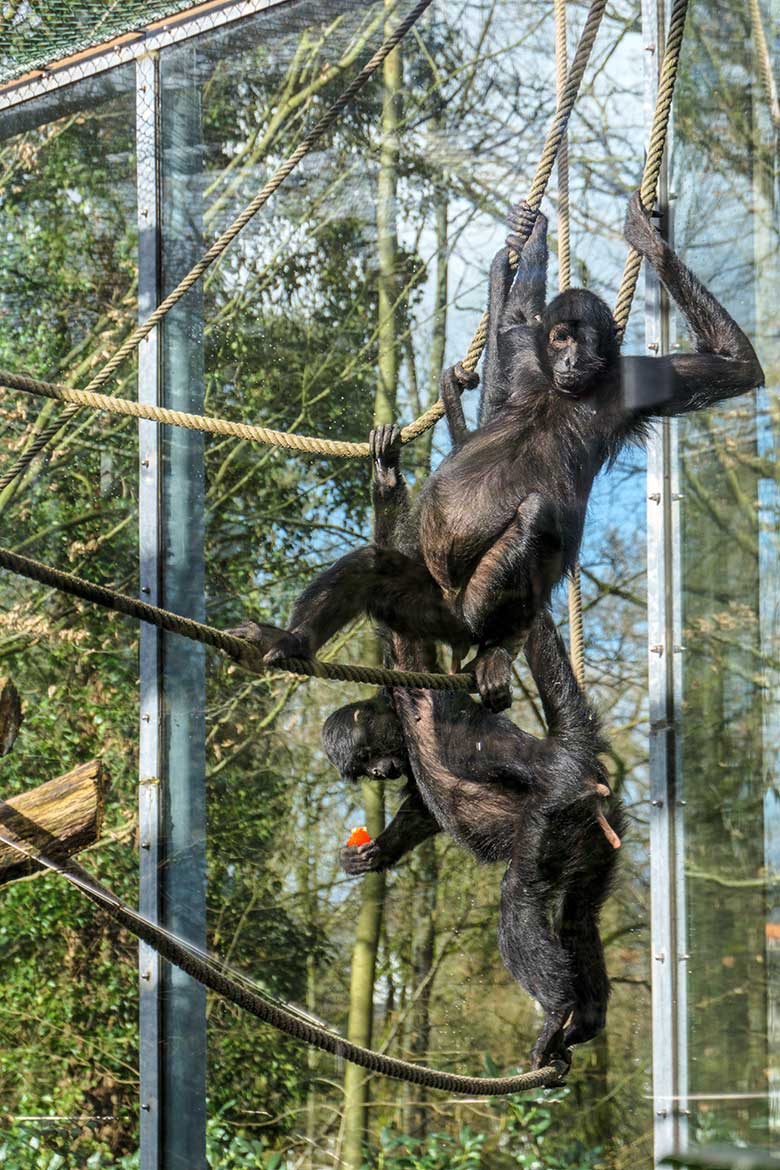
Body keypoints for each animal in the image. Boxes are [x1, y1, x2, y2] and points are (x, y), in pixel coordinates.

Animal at [265, 189, 767, 711]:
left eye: (584, 341)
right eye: (560, 337)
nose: (569, 359)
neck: (560, 388)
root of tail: (453, 614)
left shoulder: (636, 379)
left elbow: (738, 368)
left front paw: (647, 239)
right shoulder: (525, 348)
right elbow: (515, 319)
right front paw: (532, 234)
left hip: (469, 607)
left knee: (535, 516)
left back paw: (488, 645)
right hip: (422, 601)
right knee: (372, 564)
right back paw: (295, 641)